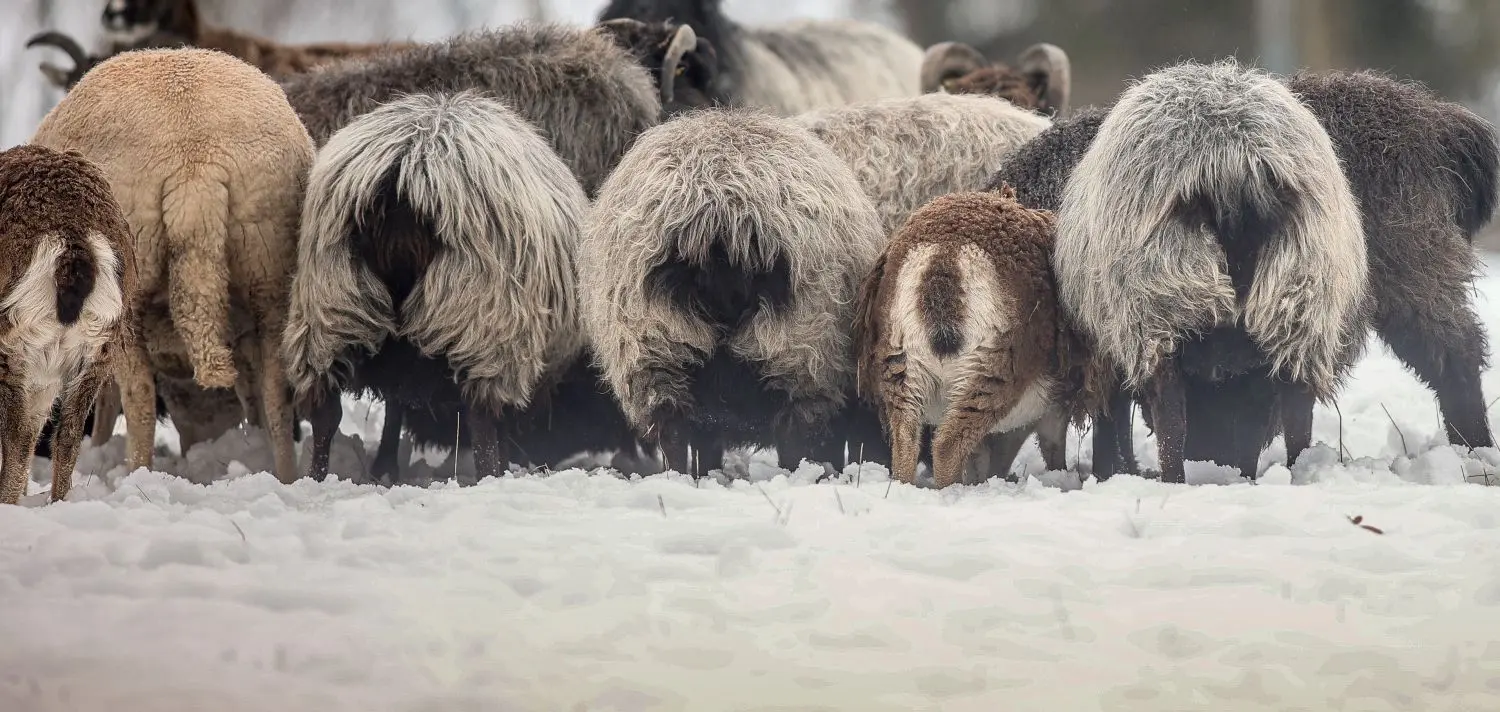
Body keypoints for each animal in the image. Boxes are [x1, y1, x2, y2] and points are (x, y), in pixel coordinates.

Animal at [30, 47, 314, 485]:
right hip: (267, 263)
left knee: (140, 397)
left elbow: (106, 400)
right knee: (276, 390)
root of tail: (195, 161)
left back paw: (137, 474)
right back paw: (283, 473)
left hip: (130, 280)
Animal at [283, 90, 587, 484]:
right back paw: (490, 478)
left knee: (326, 411)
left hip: (330, 305)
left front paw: (385, 466)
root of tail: (407, 169)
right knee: (481, 419)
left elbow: (395, 405)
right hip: (483, 319)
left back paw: (316, 480)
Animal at [852, 184, 1105, 488]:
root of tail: (943, 255)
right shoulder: (1049, 405)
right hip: (989, 370)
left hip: (901, 366)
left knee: (905, 442)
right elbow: (1046, 446)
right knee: (947, 445)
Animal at [1052, 60, 1369, 484]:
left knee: (1171, 417)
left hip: (1159, 305)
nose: (1217, 460)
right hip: (1300, 304)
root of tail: (1233, 163)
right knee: (1296, 413)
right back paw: (1290, 473)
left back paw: (1175, 480)